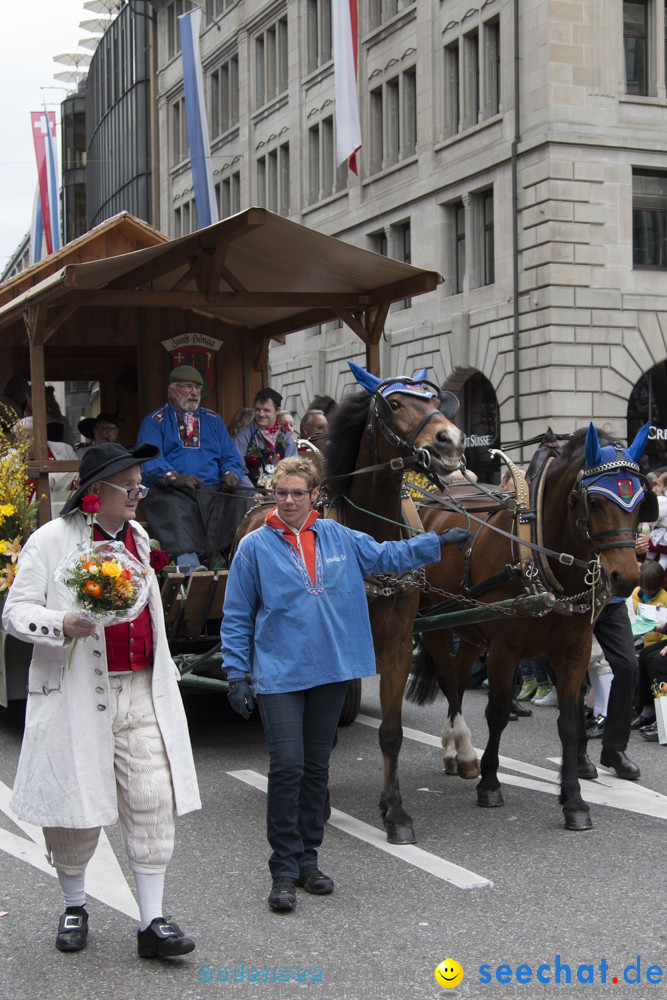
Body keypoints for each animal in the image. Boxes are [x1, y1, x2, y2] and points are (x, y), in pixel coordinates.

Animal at [410, 426, 656, 832]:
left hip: (470, 631)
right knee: (449, 680)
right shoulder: (504, 651)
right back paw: (463, 751)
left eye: (640, 501)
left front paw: (574, 801)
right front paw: (490, 784)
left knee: (459, 679)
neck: (540, 551)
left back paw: (458, 751)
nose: (626, 578)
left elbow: (570, 723)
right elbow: (496, 714)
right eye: (594, 502)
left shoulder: (574, 652)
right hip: (433, 624)